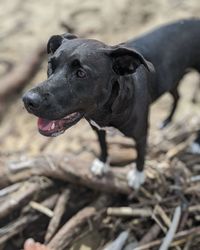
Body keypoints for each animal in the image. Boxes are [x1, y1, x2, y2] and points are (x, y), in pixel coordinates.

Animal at [22, 17, 200, 188]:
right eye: (50, 65)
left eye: (81, 73)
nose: (28, 100)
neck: (107, 111)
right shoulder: (97, 128)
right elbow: (103, 145)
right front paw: (102, 163)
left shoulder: (141, 135)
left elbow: (140, 155)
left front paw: (138, 176)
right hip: (171, 80)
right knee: (177, 96)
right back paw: (167, 120)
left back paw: (196, 143)